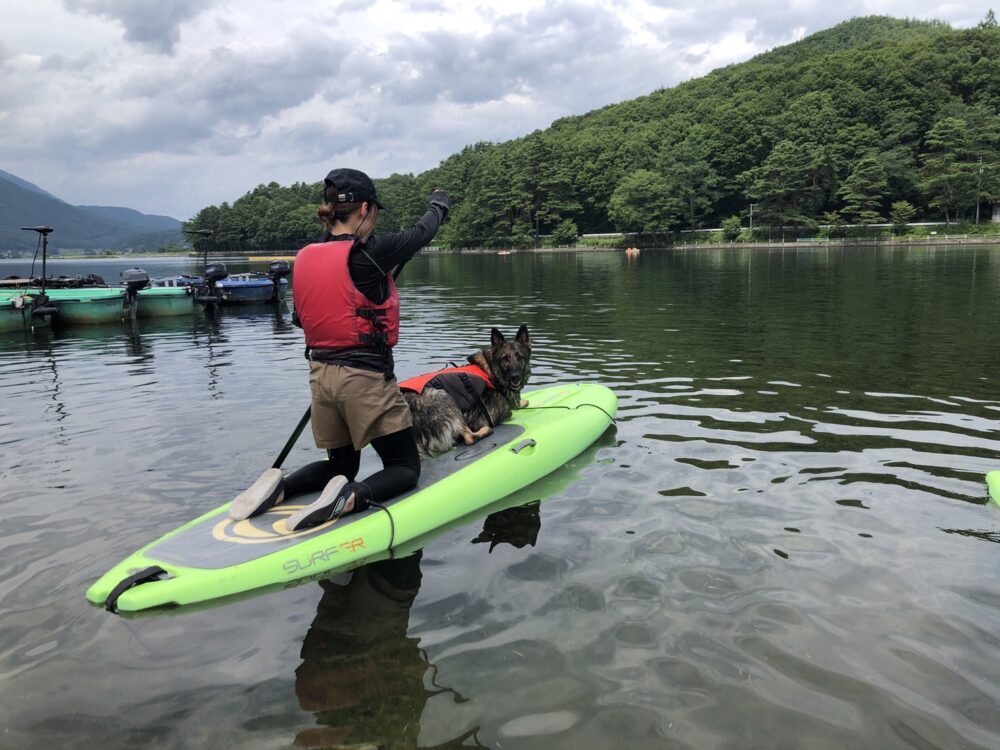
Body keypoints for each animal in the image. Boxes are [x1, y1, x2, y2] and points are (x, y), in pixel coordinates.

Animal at [402, 328, 536, 462]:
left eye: (520, 357)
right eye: (505, 358)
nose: (515, 377)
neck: (492, 371)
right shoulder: (495, 414)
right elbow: (511, 410)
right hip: (443, 397)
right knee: (470, 438)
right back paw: (485, 430)